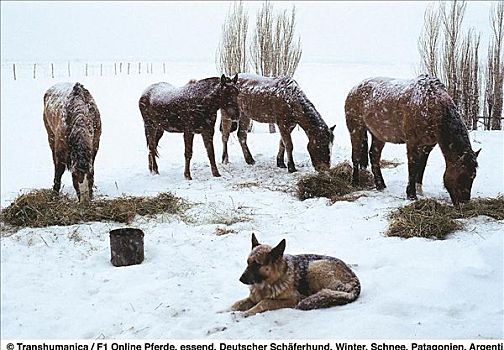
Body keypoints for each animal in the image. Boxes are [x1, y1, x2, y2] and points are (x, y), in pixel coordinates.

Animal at [230, 234, 360, 316]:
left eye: (257, 265)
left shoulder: (291, 300)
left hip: (314, 268)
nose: (240, 279)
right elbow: (236, 304)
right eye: (248, 262)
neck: (270, 282)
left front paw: (244, 314)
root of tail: (355, 280)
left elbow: (264, 302)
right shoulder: (252, 298)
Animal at [344, 74, 478, 205]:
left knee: (374, 156)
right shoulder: (412, 143)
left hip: (378, 136)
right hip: (356, 130)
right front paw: (411, 195)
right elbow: (413, 166)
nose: (464, 202)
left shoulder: (428, 145)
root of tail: (353, 90)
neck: (430, 104)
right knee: (356, 157)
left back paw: (380, 185)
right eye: (462, 175)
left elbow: (422, 165)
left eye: (473, 176)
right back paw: (355, 182)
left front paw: (419, 190)